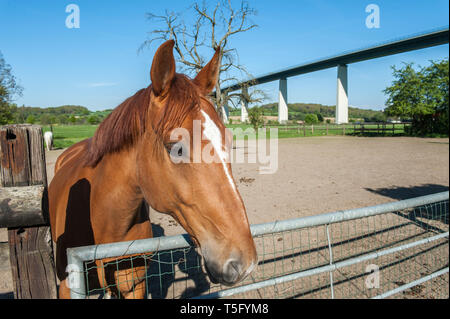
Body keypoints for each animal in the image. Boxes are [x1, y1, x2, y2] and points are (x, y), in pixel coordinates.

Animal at [48, 40, 256, 300]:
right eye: (176, 148)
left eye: (227, 140)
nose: (244, 263)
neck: (104, 220)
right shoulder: (67, 287)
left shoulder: (135, 287)